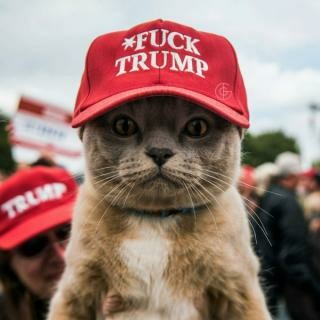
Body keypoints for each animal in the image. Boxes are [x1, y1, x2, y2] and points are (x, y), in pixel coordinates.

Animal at [47, 95, 272, 320]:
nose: (159, 152)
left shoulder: (240, 292)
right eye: (124, 125)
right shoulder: (74, 292)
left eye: (197, 127)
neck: (155, 218)